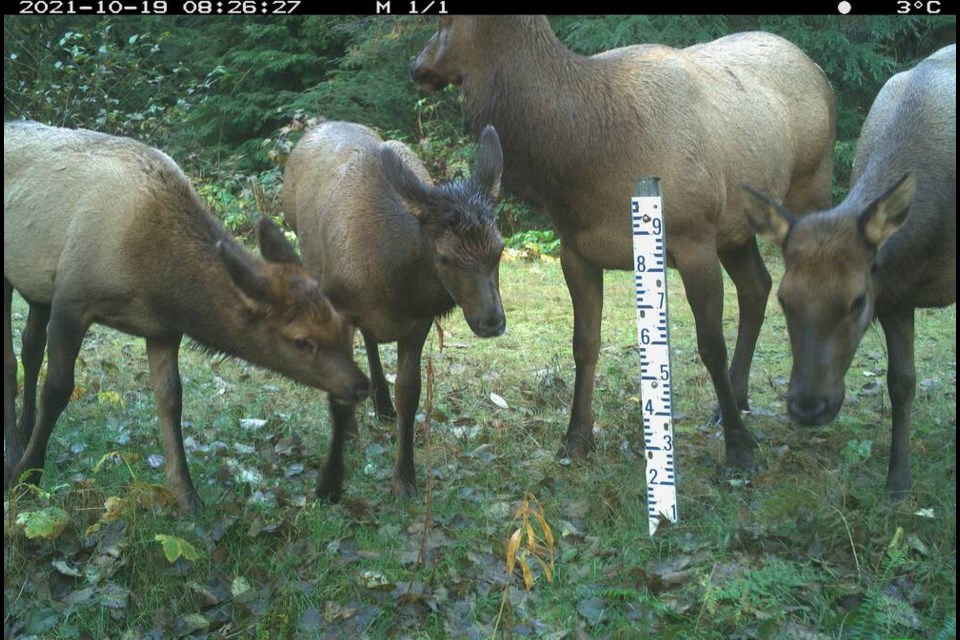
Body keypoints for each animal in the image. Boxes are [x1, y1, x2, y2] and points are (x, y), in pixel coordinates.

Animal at [2, 120, 372, 512]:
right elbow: (57, 389)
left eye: (343, 325)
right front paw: (27, 477)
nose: (360, 385)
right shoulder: (72, 297)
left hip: (37, 285)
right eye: (302, 341)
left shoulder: (162, 330)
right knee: (11, 362)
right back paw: (13, 451)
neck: (154, 279)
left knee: (30, 348)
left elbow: (171, 400)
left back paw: (24, 429)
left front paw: (186, 494)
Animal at [282, 119, 506, 500]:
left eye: (500, 248)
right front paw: (342, 453)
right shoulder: (339, 305)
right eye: (443, 257)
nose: (492, 321)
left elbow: (409, 392)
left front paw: (404, 479)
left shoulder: (419, 321)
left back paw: (382, 404)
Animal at [408, 16, 836, 476]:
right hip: (736, 227)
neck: (590, 156)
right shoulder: (576, 250)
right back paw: (735, 401)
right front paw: (575, 439)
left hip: (808, 188)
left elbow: (710, 346)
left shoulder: (694, 237)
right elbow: (584, 344)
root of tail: (818, 70)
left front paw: (739, 449)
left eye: (444, 20)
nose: (417, 66)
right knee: (757, 285)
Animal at [744, 45, 952, 498]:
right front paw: (898, 481)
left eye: (856, 300)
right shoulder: (894, 293)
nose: (808, 405)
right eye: (783, 298)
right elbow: (901, 382)